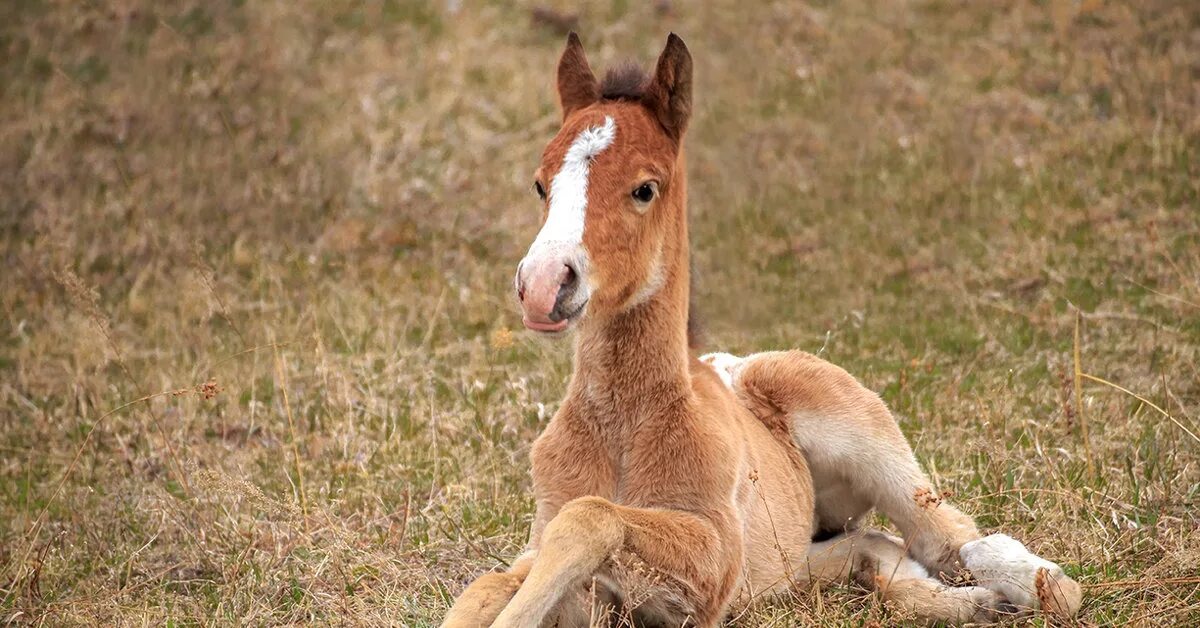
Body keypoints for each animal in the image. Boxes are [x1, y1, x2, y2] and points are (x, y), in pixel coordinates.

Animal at [446, 35, 1084, 628]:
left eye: (644, 188)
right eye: (540, 184)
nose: (543, 284)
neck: (624, 426)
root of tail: (735, 364)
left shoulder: (711, 561)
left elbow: (591, 516)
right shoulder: (542, 551)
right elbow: (487, 585)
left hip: (859, 433)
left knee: (951, 537)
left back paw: (1031, 589)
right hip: (791, 557)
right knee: (871, 547)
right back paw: (971, 602)